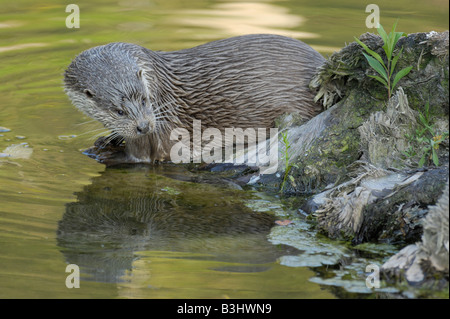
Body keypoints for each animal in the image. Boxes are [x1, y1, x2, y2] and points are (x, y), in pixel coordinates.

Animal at [64, 34, 324, 164]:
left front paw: (107, 151)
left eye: (145, 100)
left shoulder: (159, 135)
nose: (144, 126)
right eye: (118, 111)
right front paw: (108, 140)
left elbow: (143, 158)